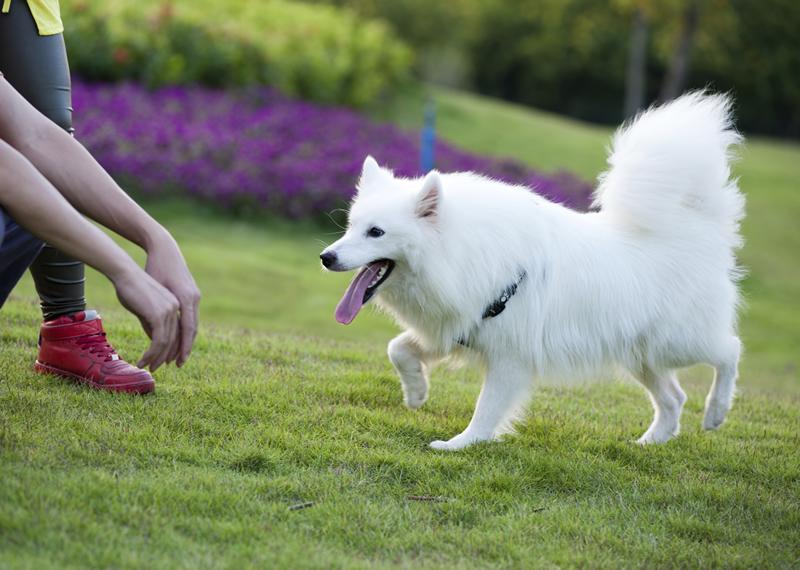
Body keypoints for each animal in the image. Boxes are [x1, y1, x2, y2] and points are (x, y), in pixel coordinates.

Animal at [318, 93, 744, 448]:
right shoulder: (455, 327)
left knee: (729, 351)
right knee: (674, 397)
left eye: (376, 232)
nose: (326, 257)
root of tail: (693, 226)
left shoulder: (510, 357)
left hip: (679, 340)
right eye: (350, 227)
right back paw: (652, 442)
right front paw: (416, 392)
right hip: (642, 354)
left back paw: (716, 412)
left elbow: (486, 410)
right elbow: (398, 349)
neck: (463, 251)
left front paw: (461, 444)